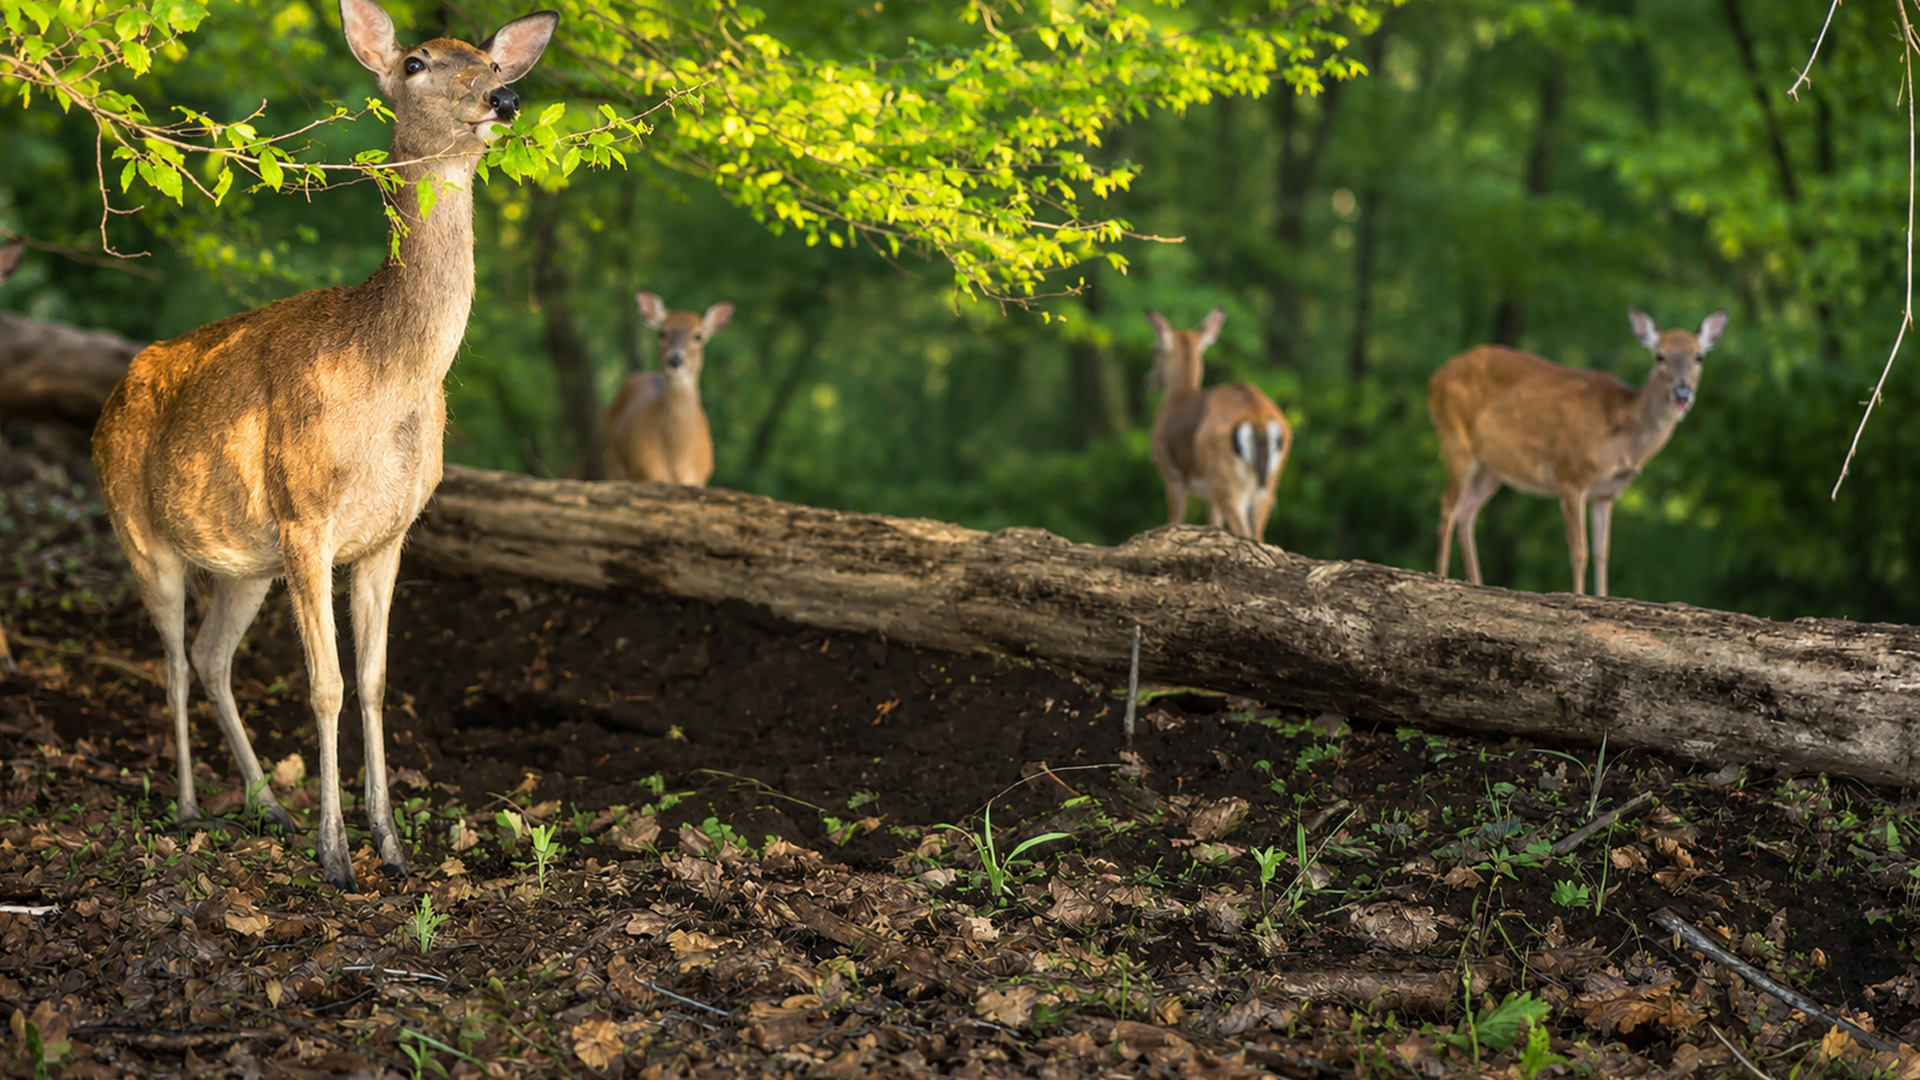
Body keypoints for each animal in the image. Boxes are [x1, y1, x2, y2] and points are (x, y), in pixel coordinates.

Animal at [89, 0, 556, 892]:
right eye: (415, 62)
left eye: (492, 61)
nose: (505, 99)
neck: (388, 382)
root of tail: (110, 395)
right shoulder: (307, 516)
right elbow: (326, 686)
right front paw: (336, 855)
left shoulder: (389, 533)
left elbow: (373, 683)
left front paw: (394, 847)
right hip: (137, 529)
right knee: (171, 656)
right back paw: (191, 807)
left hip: (246, 563)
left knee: (210, 654)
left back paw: (266, 806)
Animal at [605, 291, 732, 485]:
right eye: (662, 333)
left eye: (698, 335)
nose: (675, 359)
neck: (677, 461)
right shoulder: (645, 474)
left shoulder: (699, 478)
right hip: (614, 461)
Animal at [1146, 309, 1293, 542]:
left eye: (1155, 350)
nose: (1149, 380)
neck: (1176, 399)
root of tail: (1257, 417)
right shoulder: (1208, 492)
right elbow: (1213, 524)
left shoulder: (1170, 473)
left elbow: (1176, 519)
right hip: (1270, 482)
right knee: (1258, 533)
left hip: (1225, 481)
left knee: (1244, 531)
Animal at [1429, 307, 1728, 598]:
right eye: (1660, 356)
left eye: (1699, 356)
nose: (1682, 393)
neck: (1621, 441)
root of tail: (1436, 378)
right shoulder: (1569, 475)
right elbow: (1579, 552)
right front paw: (1578, 596)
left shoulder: (1606, 494)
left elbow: (1602, 552)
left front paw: (1603, 597)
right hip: (1456, 440)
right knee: (1447, 506)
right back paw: (1441, 576)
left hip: (1492, 468)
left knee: (1466, 512)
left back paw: (1476, 582)